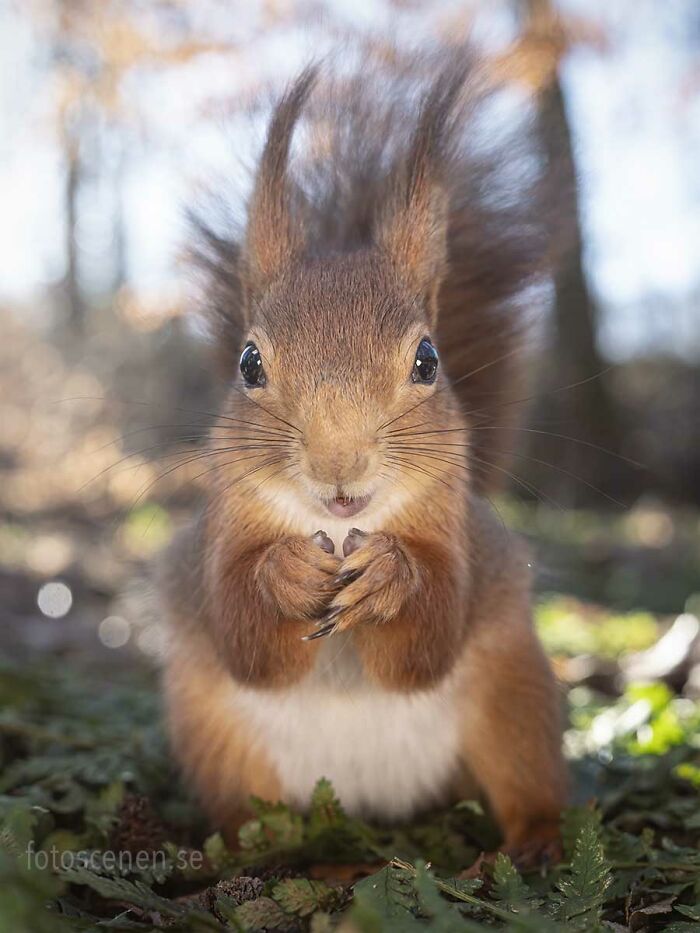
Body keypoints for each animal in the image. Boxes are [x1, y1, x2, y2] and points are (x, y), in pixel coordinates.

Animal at [158, 46, 567, 866]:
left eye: (428, 360)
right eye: (249, 363)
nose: (338, 470)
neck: (345, 528)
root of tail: (370, 804)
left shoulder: (458, 536)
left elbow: (430, 639)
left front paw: (390, 575)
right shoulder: (219, 536)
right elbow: (243, 634)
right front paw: (285, 572)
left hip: (517, 700)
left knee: (527, 777)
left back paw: (537, 841)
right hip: (216, 737)